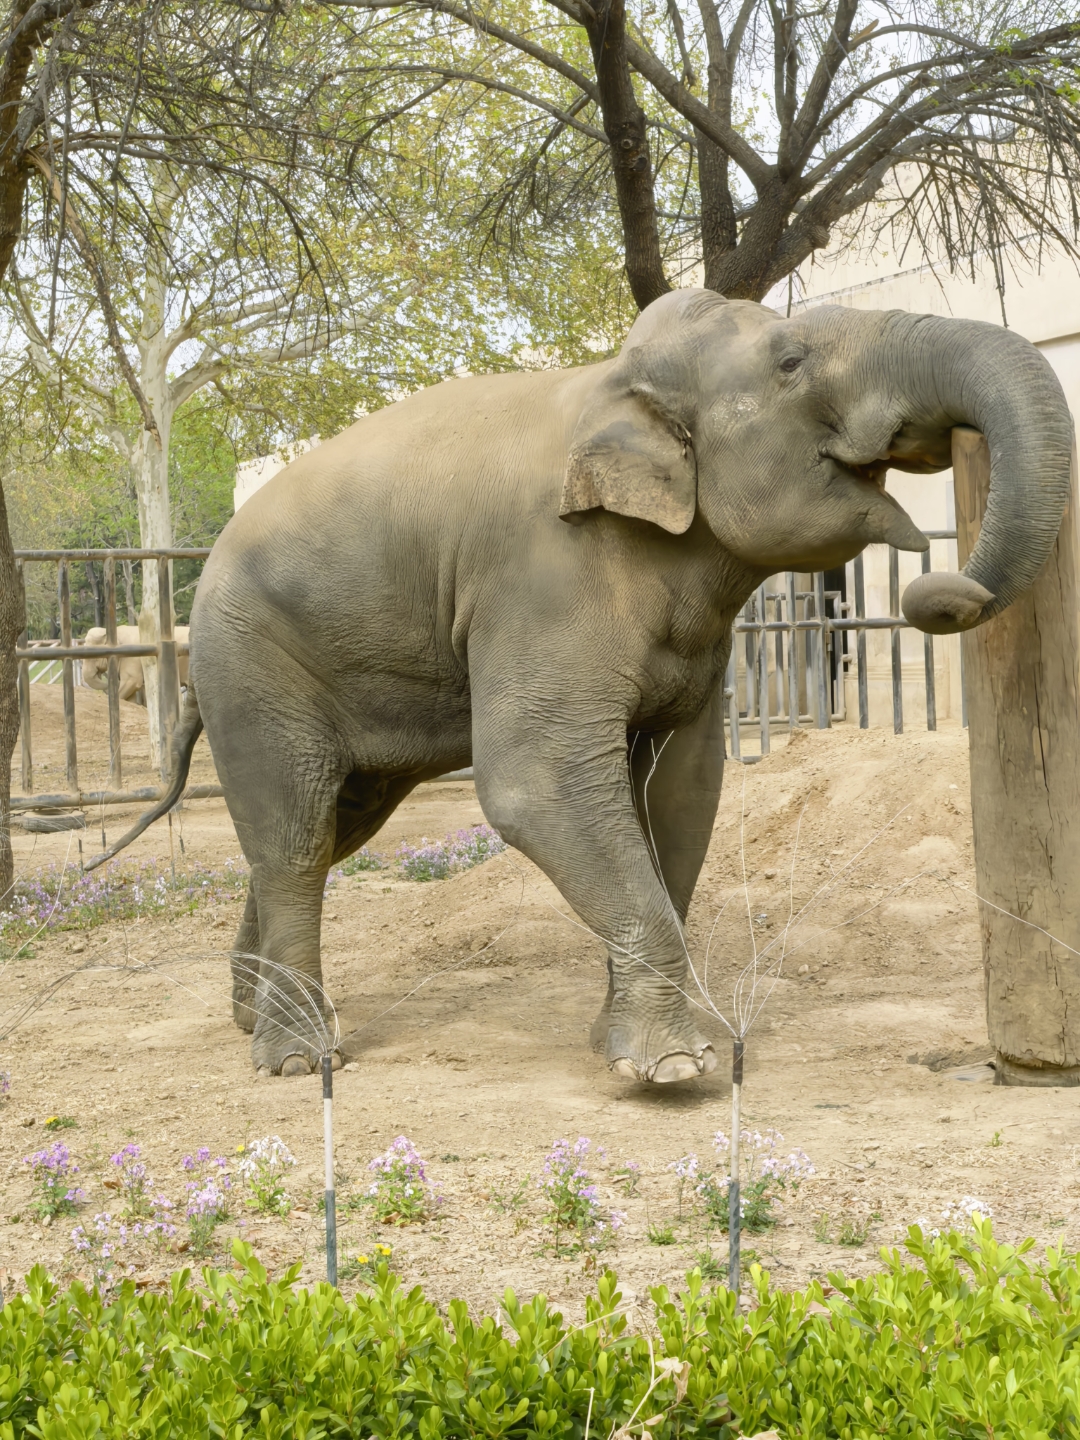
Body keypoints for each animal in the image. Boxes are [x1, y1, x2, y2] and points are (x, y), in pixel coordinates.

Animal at [88, 289, 1073, 1080]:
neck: (612, 385)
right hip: (253, 661)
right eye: (792, 362)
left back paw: (252, 1017)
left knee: (328, 827)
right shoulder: (542, 579)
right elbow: (538, 782)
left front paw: (624, 1044)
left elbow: (682, 790)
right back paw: (298, 1060)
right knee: (295, 833)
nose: (940, 589)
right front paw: (675, 1070)